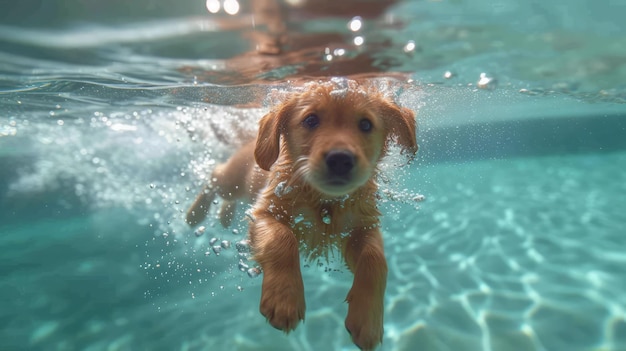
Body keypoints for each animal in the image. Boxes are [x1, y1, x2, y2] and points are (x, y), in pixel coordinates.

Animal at [185, 78, 414, 350]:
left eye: (366, 124)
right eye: (311, 120)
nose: (340, 159)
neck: (324, 200)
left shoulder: (361, 227)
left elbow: (375, 260)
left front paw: (368, 321)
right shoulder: (265, 212)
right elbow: (282, 239)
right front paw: (284, 299)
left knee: (226, 196)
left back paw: (224, 217)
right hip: (233, 180)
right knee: (215, 175)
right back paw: (194, 214)